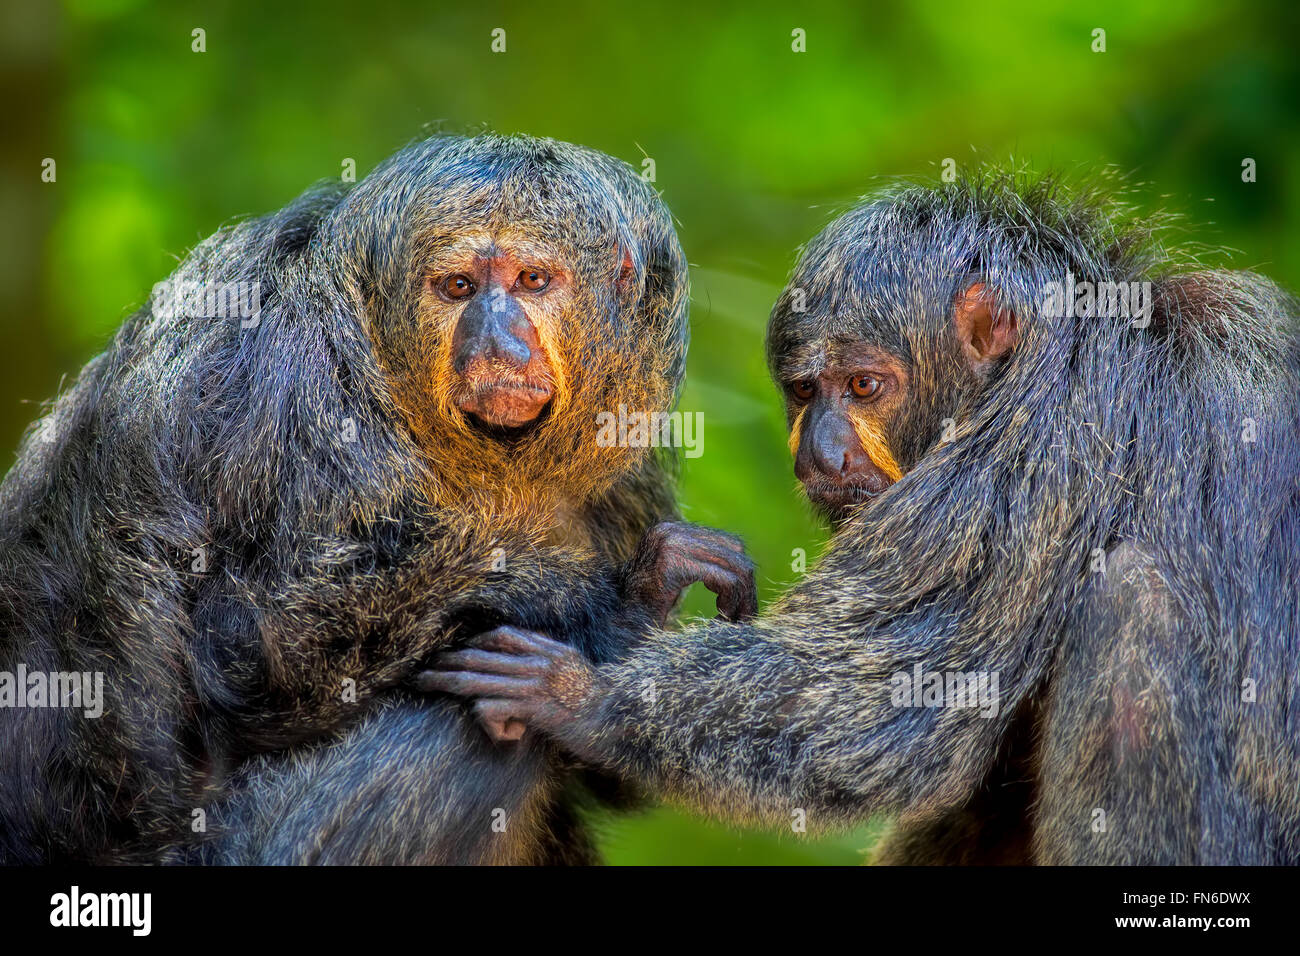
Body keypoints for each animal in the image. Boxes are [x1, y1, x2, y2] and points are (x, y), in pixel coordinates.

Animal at [0, 132, 759, 868]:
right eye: (457, 287)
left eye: (532, 281)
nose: (493, 338)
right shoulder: (288, 381)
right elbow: (251, 645)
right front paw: (616, 604)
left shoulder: (624, 468)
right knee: (459, 725)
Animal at [431, 170, 1300, 868]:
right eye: (806, 392)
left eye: (863, 387)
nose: (821, 453)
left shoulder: (1043, 438)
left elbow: (882, 709)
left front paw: (582, 698)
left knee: (1131, 600)